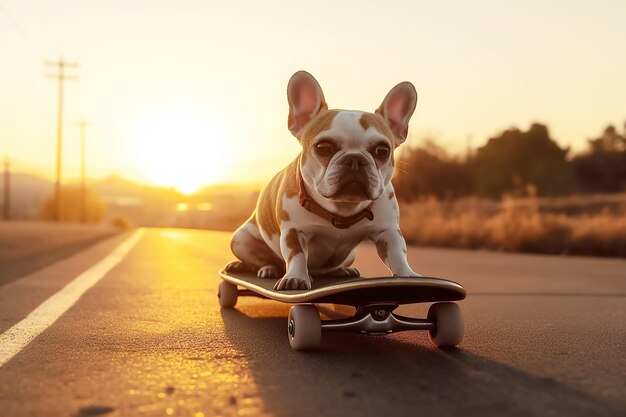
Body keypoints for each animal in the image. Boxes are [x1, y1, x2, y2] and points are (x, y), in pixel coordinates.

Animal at [225, 70, 420, 288]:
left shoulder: (388, 232)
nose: (355, 159)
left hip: (351, 255)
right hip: (240, 240)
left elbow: (397, 254)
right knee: (267, 260)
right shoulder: (294, 231)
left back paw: (341, 270)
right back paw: (268, 269)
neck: (341, 210)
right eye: (323, 147)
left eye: (382, 150)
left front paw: (408, 275)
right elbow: (297, 255)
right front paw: (296, 277)